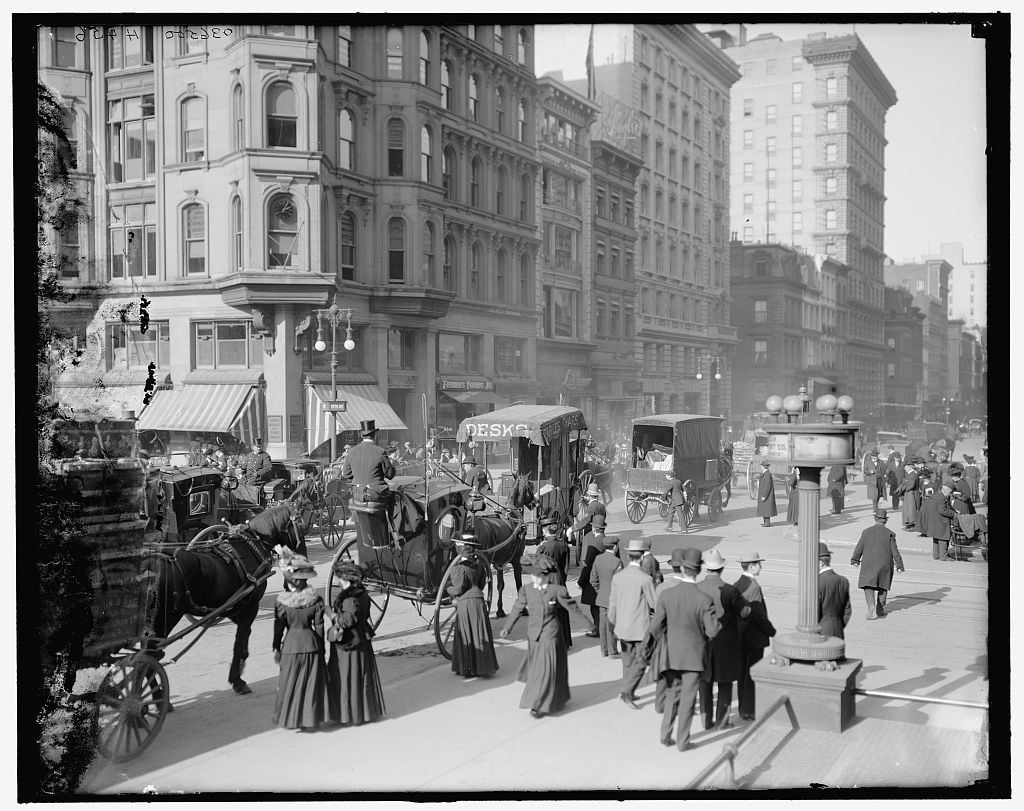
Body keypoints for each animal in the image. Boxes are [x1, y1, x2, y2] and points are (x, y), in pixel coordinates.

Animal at [143, 485, 311, 692]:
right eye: (301, 527)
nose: (303, 562)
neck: (252, 543)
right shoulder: (250, 606)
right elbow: (240, 641)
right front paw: (237, 680)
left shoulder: (235, 606)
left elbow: (243, 640)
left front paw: (240, 668)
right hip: (163, 621)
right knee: (147, 658)